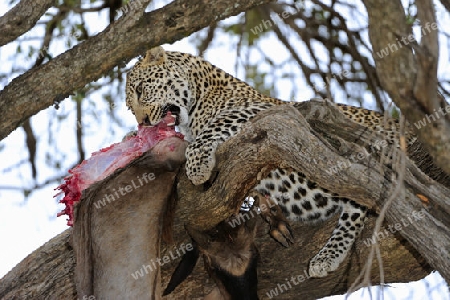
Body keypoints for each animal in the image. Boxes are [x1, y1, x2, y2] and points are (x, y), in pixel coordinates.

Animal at [124, 46, 400, 286]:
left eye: (141, 89)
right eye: (130, 106)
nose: (144, 122)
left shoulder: (266, 110)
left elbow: (214, 127)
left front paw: (197, 164)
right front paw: (134, 139)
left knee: (360, 198)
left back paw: (328, 255)